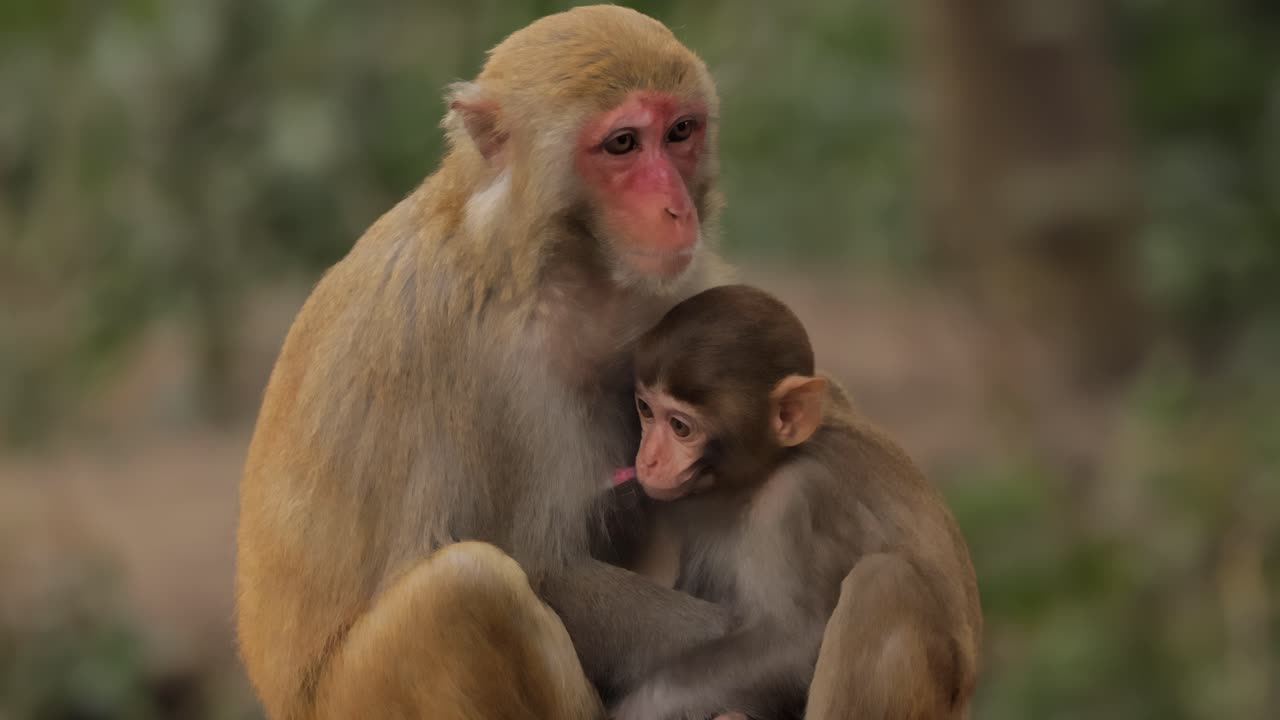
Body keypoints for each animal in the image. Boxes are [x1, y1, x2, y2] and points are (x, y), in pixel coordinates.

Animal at [609, 284, 983, 720]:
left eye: (680, 427)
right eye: (645, 410)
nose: (647, 459)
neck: (767, 468)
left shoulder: (795, 501)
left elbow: (793, 646)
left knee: (881, 583)